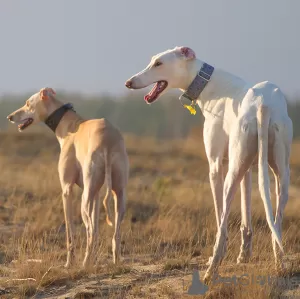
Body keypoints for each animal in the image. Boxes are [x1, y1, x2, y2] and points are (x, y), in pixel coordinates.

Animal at [7, 88, 129, 268]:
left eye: (28, 103)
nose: (9, 117)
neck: (70, 125)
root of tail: (107, 140)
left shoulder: (67, 189)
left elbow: (70, 232)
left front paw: (69, 263)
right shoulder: (96, 193)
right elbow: (96, 230)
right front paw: (94, 260)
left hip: (84, 201)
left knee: (89, 229)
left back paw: (84, 263)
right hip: (117, 194)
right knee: (113, 233)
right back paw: (115, 262)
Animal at [125, 47, 292, 284]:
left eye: (158, 63)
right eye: (152, 61)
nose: (128, 83)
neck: (210, 84)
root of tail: (263, 105)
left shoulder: (215, 165)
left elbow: (220, 213)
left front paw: (227, 254)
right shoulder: (248, 166)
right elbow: (246, 213)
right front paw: (244, 255)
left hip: (232, 174)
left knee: (223, 221)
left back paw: (211, 268)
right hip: (279, 173)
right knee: (276, 221)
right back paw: (280, 263)